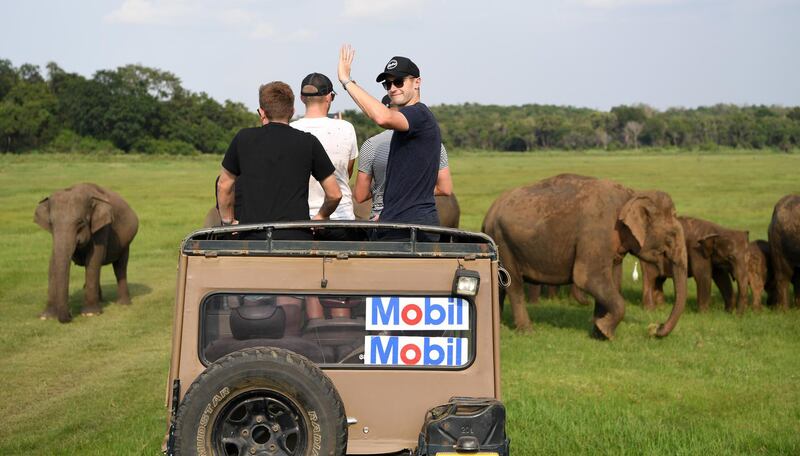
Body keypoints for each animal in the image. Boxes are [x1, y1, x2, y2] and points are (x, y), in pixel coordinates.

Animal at [34, 183, 139, 322]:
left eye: (80, 222)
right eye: (51, 223)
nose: (70, 314)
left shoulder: (102, 227)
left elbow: (94, 259)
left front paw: (90, 314)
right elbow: (53, 261)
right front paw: (46, 316)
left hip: (125, 243)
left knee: (120, 266)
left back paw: (123, 304)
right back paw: (101, 300)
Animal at [482, 175, 688, 338]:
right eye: (671, 237)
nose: (655, 328)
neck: (631, 195)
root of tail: (489, 213)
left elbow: (612, 280)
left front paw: (599, 333)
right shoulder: (597, 231)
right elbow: (587, 278)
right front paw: (605, 331)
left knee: (499, 284)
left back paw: (498, 329)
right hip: (503, 241)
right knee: (514, 285)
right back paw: (527, 331)